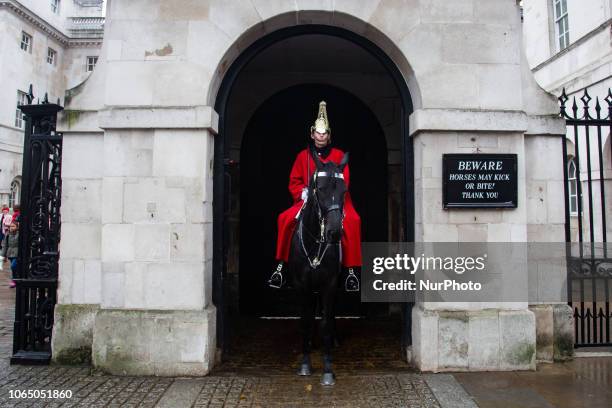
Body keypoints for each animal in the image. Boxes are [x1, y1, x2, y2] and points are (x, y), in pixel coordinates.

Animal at [288, 147, 350, 386]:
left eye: (344, 190)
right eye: (320, 189)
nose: (334, 233)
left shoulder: (329, 285)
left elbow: (325, 323)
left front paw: (327, 370)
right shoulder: (301, 285)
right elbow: (305, 321)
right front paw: (305, 364)